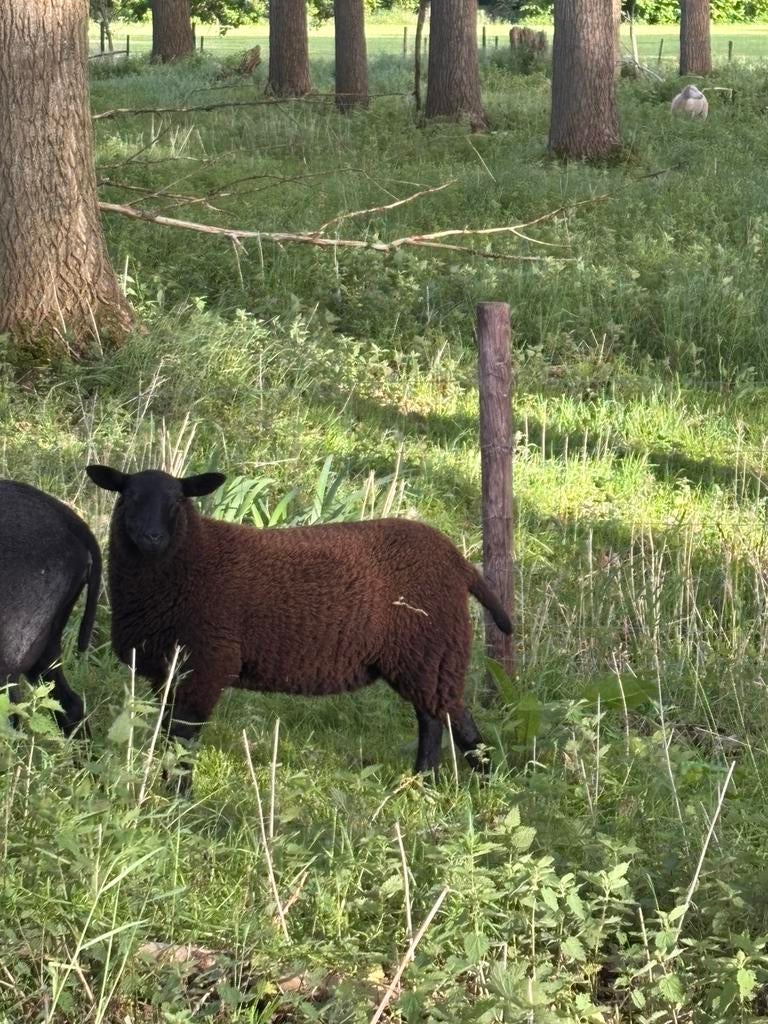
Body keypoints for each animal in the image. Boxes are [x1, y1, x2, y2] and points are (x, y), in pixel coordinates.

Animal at [86, 465, 513, 776]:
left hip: (430, 650)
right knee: (435, 717)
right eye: (129, 496)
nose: (152, 537)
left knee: (448, 716)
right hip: (425, 657)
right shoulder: (166, 671)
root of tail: (458, 562)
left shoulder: (206, 664)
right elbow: (167, 733)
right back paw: (428, 781)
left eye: (177, 500)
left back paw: (476, 778)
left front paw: (177, 796)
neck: (193, 557)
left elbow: (183, 739)